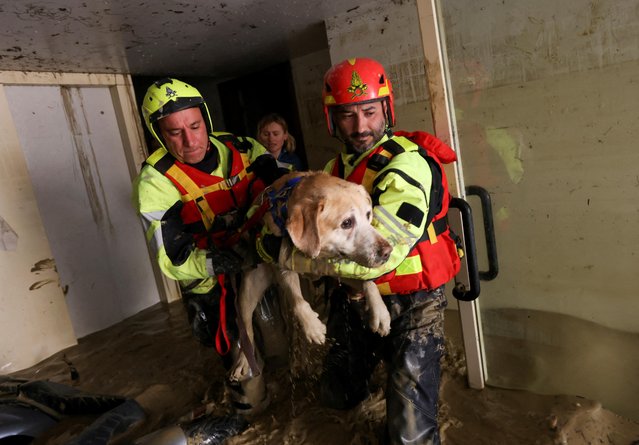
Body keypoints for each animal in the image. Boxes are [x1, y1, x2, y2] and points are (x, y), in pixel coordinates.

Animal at [234, 172, 396, 380]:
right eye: (347, 223)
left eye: (368, 215)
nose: (387, 252)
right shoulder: (282, 267)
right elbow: (297, 301)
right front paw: (312, 327)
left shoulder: (334, 269)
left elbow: (369, 283)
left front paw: (380, 312)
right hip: (249, 289)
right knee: (246, 328)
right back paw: (244, 361)